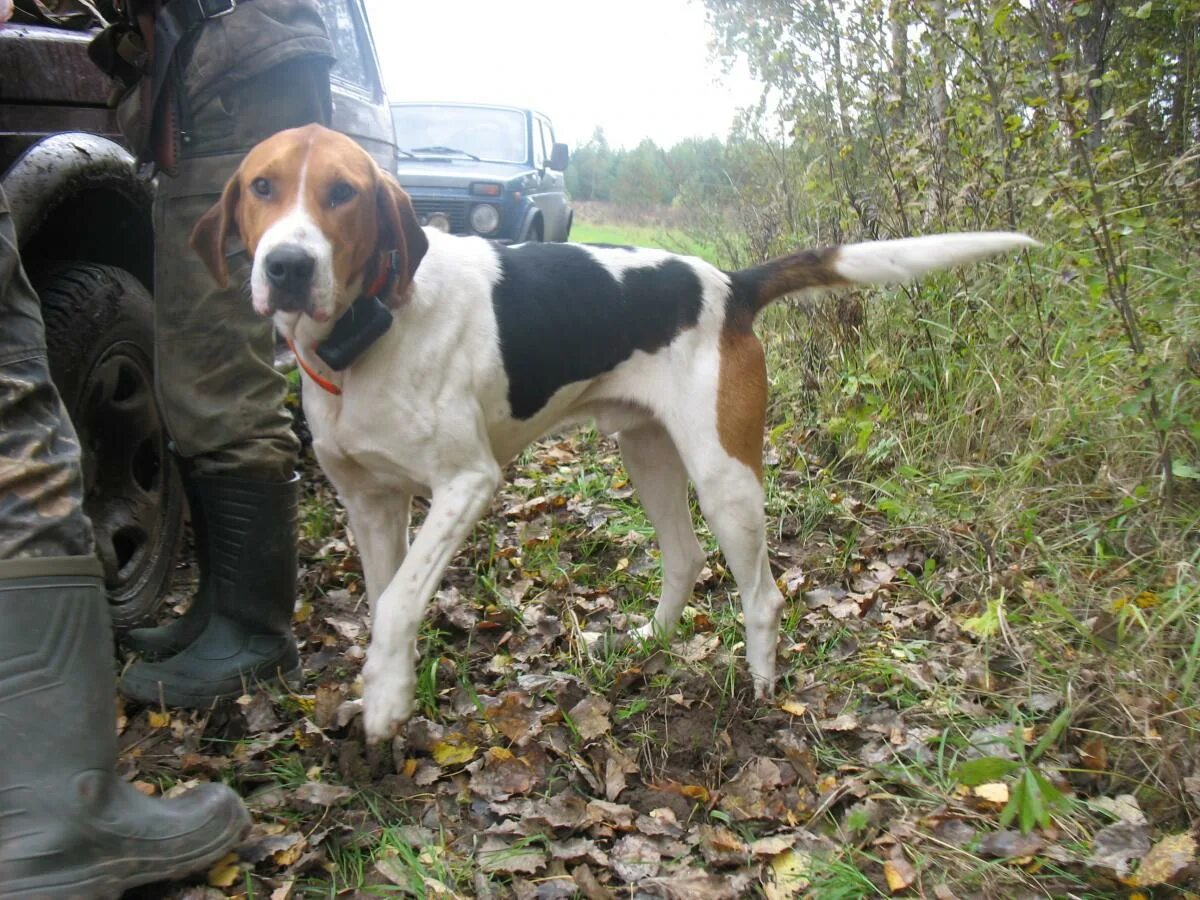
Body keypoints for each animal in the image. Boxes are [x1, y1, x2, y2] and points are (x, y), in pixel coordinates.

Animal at [192, 127, 1036, 748]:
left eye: (345, 193)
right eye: (262, 187)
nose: (288, 266)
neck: (369, 330)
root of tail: (729, 283)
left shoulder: (466, 483)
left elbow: (400, 600)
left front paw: (385, 699)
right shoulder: (370, 502)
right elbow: (382, 599)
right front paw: (387, 686)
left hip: (724, 475)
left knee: (763, 593)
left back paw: (763, 688)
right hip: (646, 451)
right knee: (685, 557)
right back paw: (647, 644)